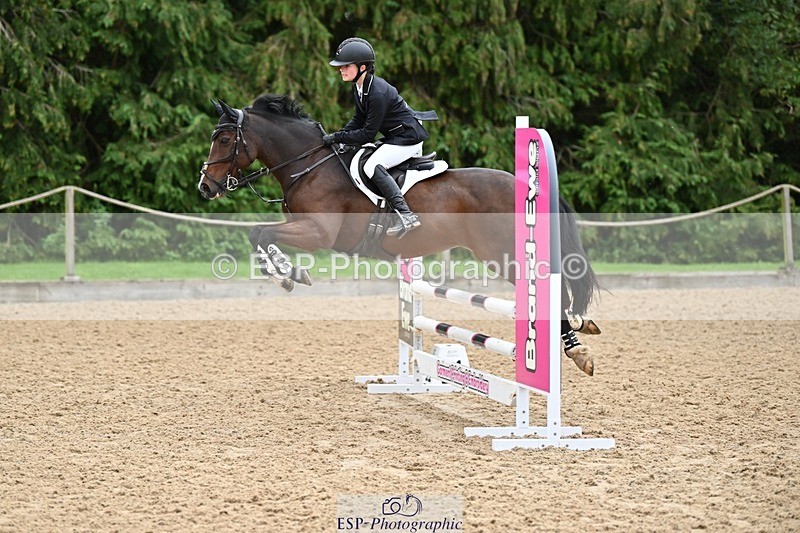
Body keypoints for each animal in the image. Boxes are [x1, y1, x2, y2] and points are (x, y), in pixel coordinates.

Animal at [197, 95, 601, 375]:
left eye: (224, 140)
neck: (308, 165)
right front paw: (287, 274)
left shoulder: (317, 232)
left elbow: (259, 232)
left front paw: (288, 275)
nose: (205, 187)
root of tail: (527, 187)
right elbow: (259, 235)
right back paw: (582, 326)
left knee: (550, 291)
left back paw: (577, 349)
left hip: (505, 256)